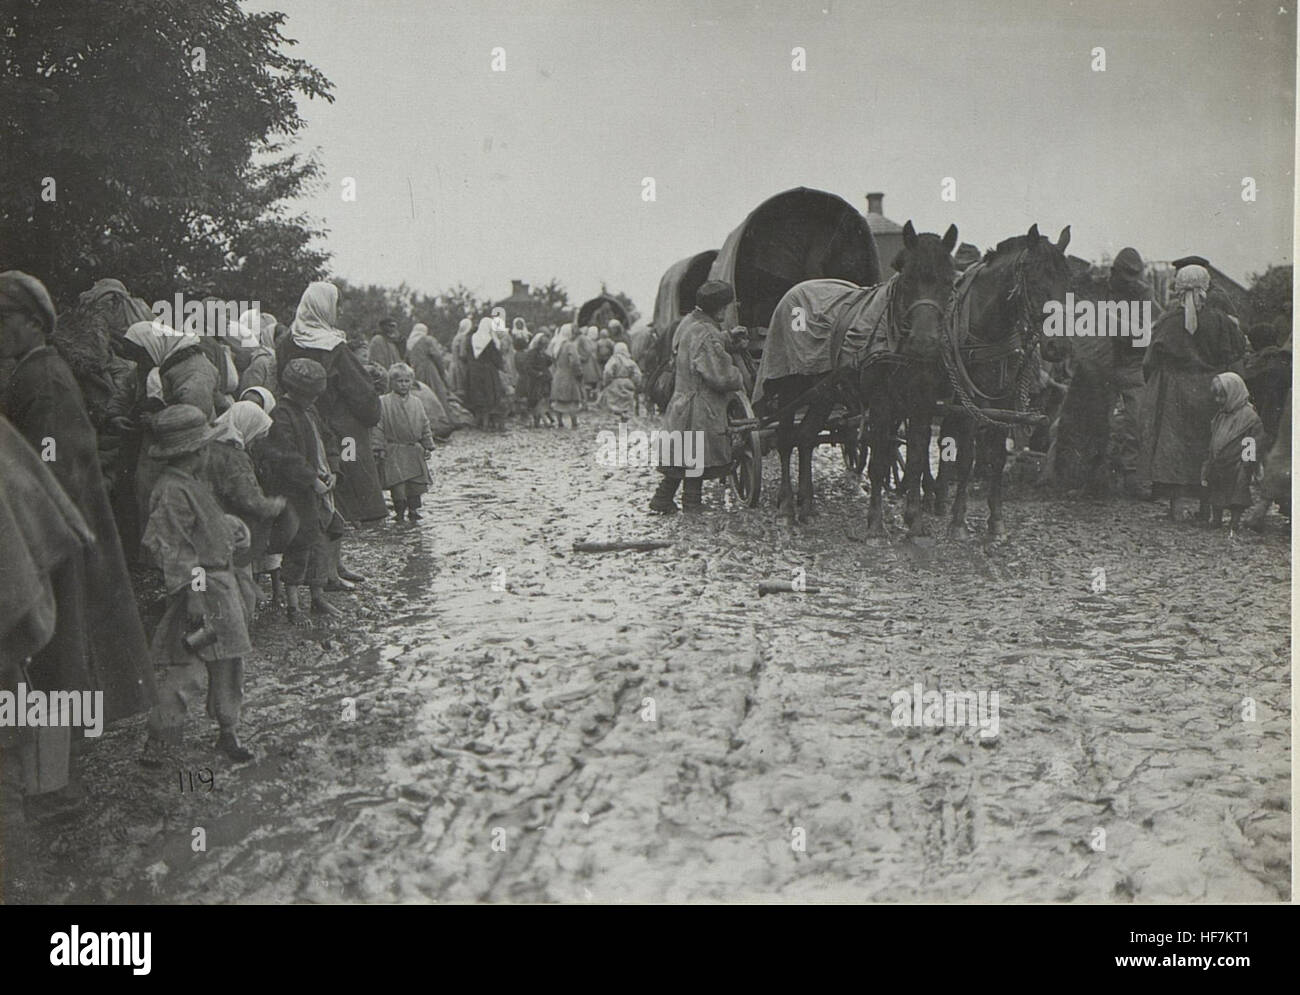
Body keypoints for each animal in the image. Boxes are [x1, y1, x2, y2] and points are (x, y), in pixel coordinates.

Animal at [759, 222, 961, 528]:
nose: (925, 342)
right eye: (907, 278)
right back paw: (787, 504)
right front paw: (875, 522)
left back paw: (807, 503)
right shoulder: (880, 403)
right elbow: (878, 462)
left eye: (949, 281)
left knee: (805, 436)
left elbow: (916, 459)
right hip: (791, 385)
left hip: (825, 392)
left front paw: (914, 520)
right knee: (785, 439)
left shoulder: (922, 404)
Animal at [941, 223, 1071, 538]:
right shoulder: (968, 402)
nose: (1058, 347)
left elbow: (998, 457)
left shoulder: (1006, 401)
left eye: (1068, 280)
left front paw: (996, 521)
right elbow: (966, 457)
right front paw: (958, 520)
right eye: (1034, 280)